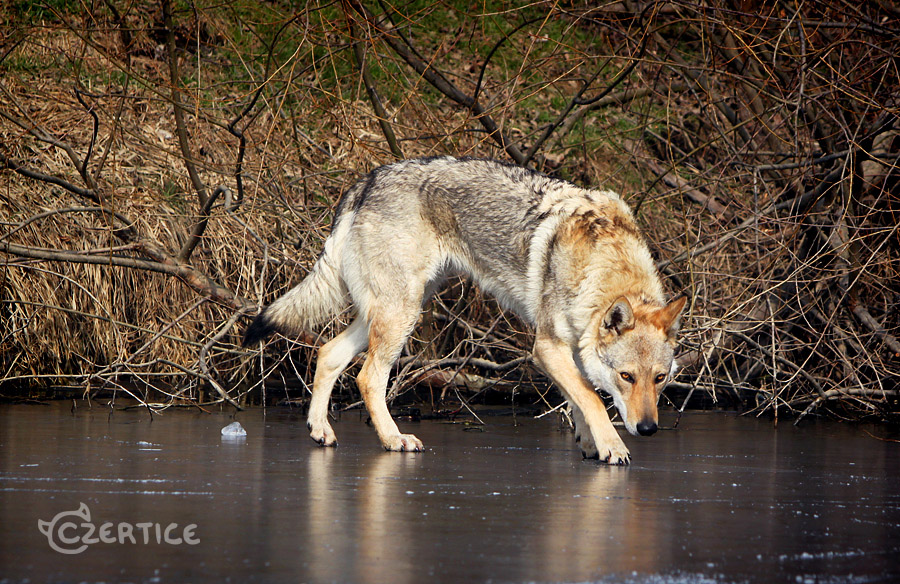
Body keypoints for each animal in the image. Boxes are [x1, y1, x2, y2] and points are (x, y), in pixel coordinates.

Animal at [243, 156, 684, 466]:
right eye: (626, 377)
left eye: (660, 379)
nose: (648, 429)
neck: (604, 265)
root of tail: (367, 181)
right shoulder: (545, 347)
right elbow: (592, 398)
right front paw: (612, 446)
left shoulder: (570, 349)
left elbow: (580, 397)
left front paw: (592, 444)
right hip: (401, 315)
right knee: (368, 378)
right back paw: (393, 439)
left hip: (390, 312)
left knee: (328, 353)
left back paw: (320, 430)